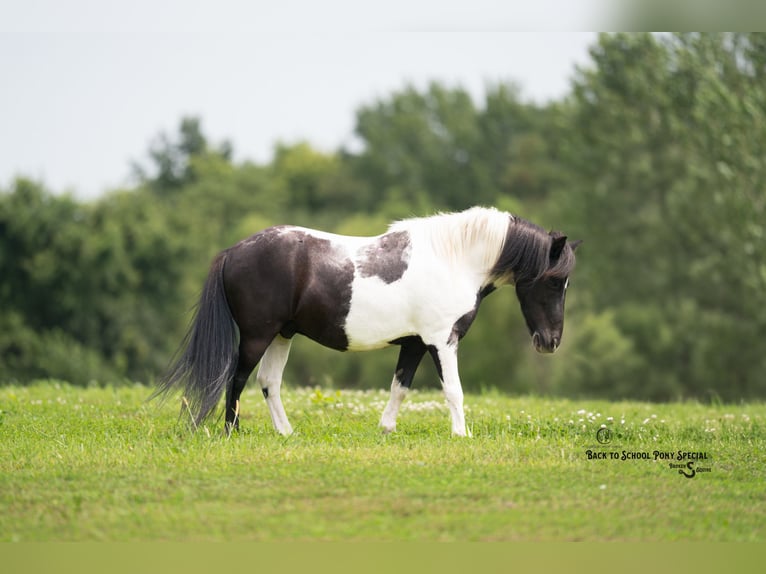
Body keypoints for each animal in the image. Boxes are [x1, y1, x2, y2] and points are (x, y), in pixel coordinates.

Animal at [153, 206, 580, 436]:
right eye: (553, 280)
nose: (550, 342)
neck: (454, 260)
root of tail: (233, 251)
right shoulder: (441, 341)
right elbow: (454, 391)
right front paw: (462, 434)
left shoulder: (414, 344)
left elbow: (400, 388)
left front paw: (386, 430)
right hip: (258, 336)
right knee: (236, 379)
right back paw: (233, 432)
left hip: (281, 336)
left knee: (268, 383)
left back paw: (286, 433)